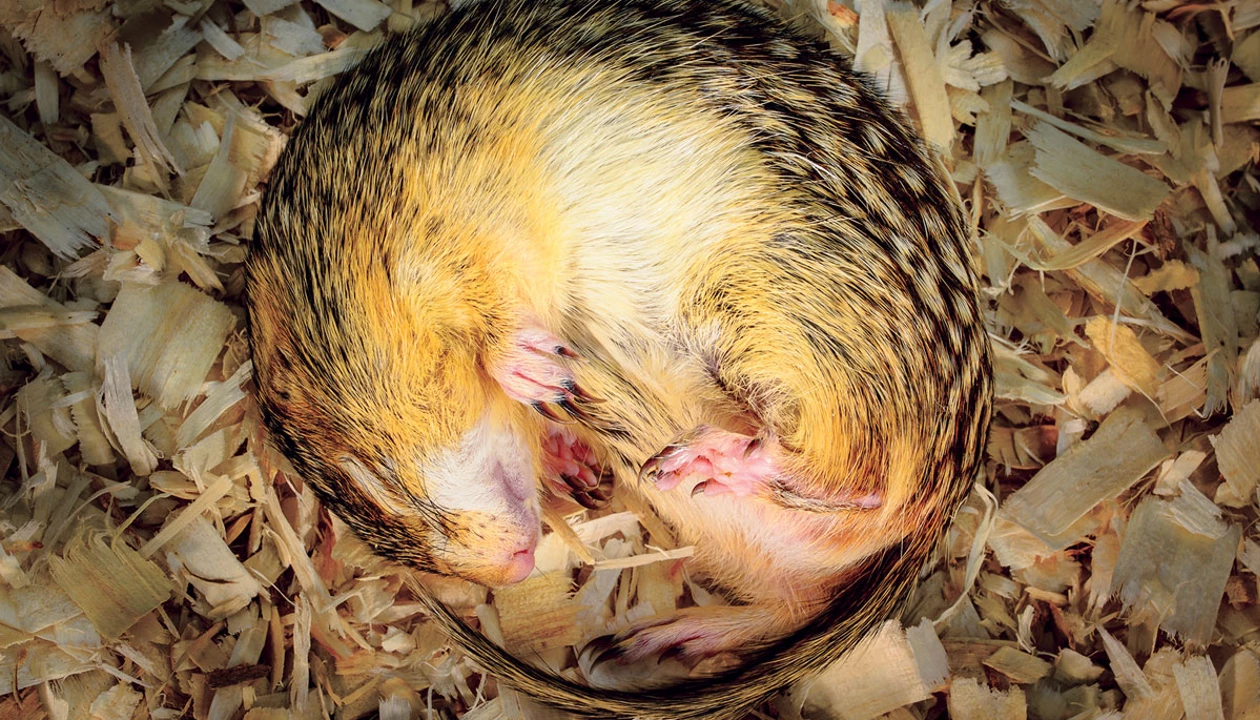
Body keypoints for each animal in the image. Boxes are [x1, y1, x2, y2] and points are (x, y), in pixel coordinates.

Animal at [245, 0, 993, 717]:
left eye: (368, 476)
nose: (513, 570)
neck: (352, 236)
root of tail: (941, 506)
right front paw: (563, 452)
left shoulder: (458, 234)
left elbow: (494, 318)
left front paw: (531, 368)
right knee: (799, 597)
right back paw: (669, 635)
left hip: (772, 327)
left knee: (859, 476)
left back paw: (720, 458)